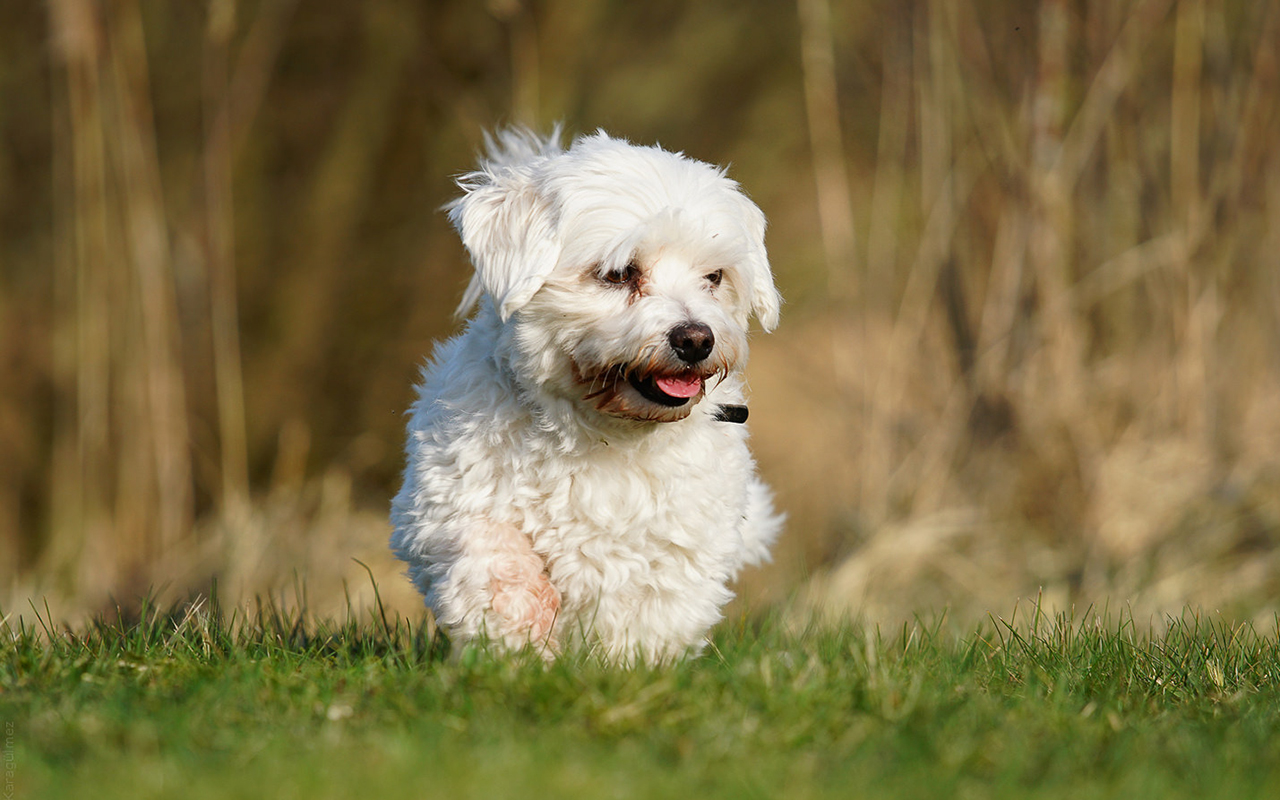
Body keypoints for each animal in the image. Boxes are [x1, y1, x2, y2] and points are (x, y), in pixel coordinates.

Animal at [389, 126, 783, 660]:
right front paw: (521, 640)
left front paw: (623, 667)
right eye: (618, 274)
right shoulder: (449, 504)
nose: (696, 339)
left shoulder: (679, 549)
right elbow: (494, 562)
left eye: (714, 277)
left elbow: (647, 617)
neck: (602, 431)